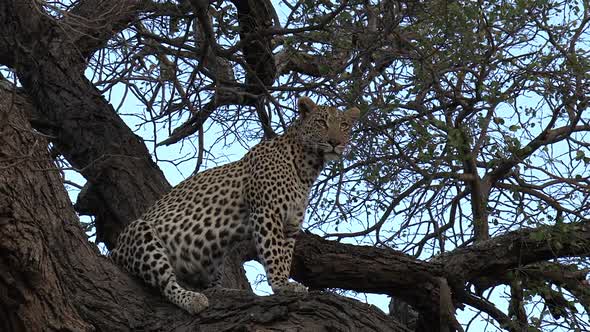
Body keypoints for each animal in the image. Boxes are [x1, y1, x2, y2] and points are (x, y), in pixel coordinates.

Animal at [110, 96, 360, 314]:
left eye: (344, 125)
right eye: (321, 122)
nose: (335, 143)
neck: (307, 167)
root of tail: (115, 251)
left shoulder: (291, 224)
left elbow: (285, 255)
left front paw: (284, 281)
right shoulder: (267, 212)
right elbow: (274, 252)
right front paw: (281, 284)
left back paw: (225, 291)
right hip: (141, 231)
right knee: (166, 284)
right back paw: (192, 300)